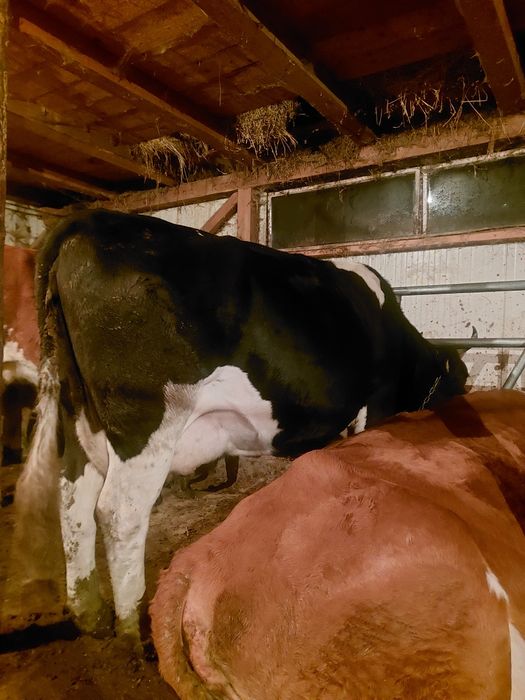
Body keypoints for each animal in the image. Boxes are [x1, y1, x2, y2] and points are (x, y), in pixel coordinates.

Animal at [10, 209, 467, 644]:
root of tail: (88, 219)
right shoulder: (377, 403)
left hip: (76, 417)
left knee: (74, 501)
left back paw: (90, 615)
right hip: (143, 420)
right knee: (119, 513)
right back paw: (133, 628)